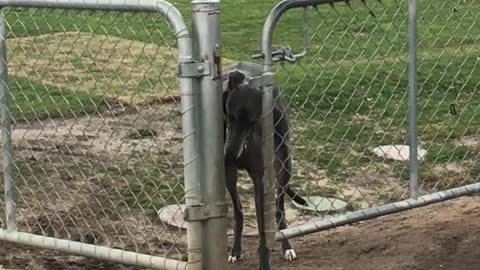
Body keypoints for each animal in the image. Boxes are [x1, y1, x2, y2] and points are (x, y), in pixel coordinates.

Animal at [221, 62, 308, 268]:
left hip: (284, 164)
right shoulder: (227, 170)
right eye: (231, 116)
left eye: (252, 122)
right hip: (231, 178)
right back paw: (236, 250)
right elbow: (240, 213)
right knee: (239, 211)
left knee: (279, 209)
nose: (231, 153)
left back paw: (287, 246)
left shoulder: (259, 177)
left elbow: (263, 229)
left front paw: (265, 261)